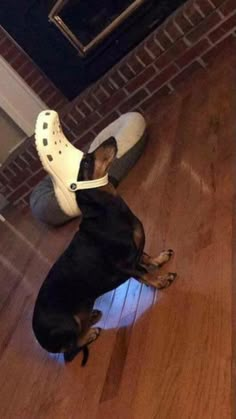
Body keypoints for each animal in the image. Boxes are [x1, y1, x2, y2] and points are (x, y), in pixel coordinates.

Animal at [31, 137, 177, 364]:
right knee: (70, 351)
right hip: (68, 326)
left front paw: (159, 259)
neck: (105, 212)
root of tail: (39, 339)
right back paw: (90, 333)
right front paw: (160, 281)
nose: (111, 138)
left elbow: (145, 257)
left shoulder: (134, 252)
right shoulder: (125, 264)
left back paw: (91, 318)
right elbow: (143, 273)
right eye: (86, 161)